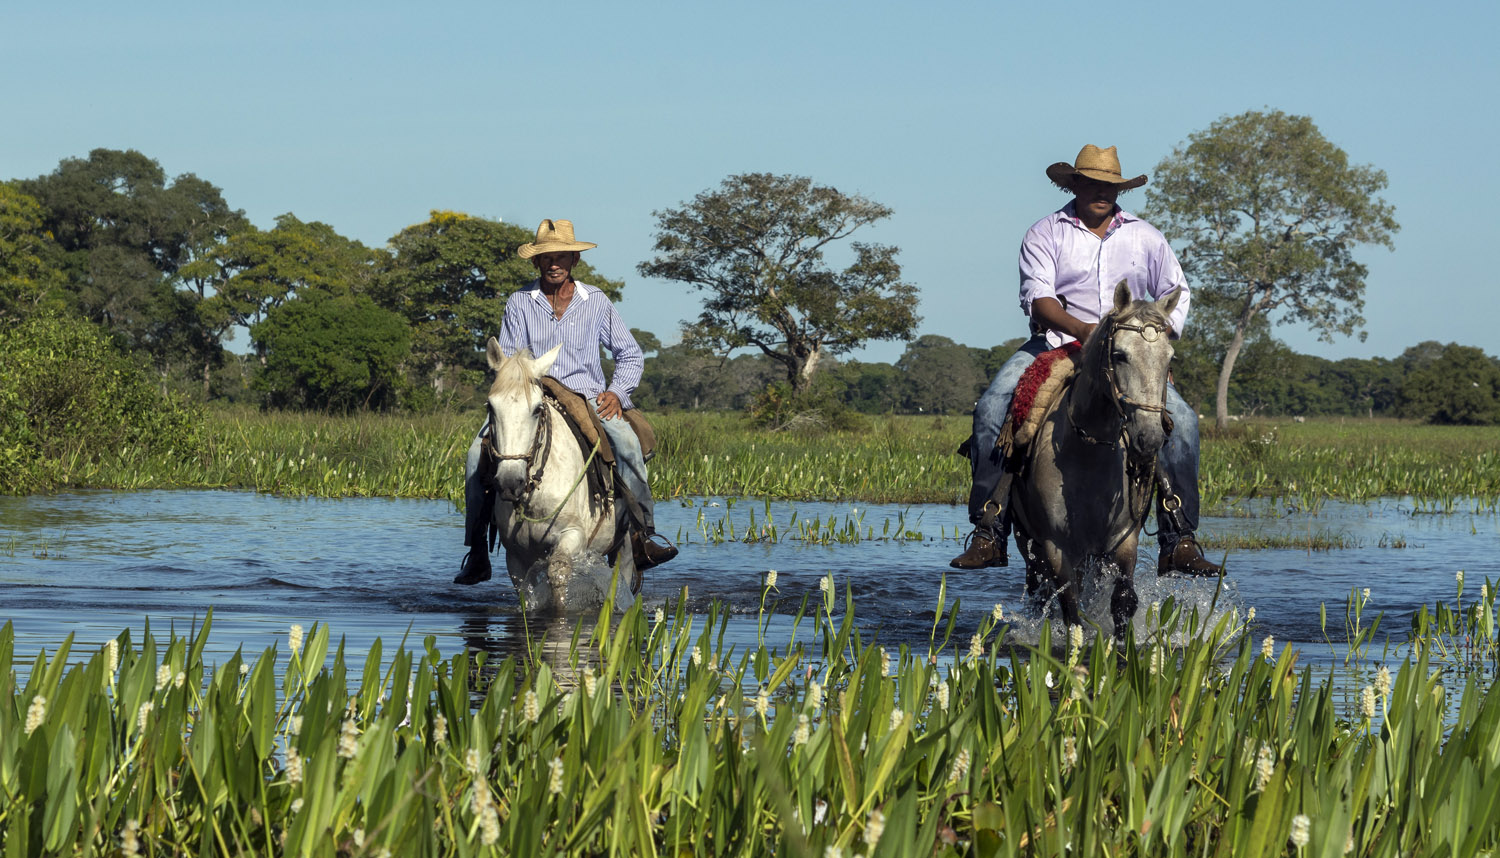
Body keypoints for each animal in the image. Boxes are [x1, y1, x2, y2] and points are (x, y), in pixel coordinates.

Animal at [474, 339, 639, 612]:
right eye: (490, 407)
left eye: (536, 409)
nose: (510, 482)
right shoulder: (515, 556)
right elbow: (524, 590)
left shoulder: (572, 536)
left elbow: (558, 573)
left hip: (624, 549)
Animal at [1008, 282, 1182, 636]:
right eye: (1120, 355)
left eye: (1169, 357)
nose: (1149, 438)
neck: (1089, 455)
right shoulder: (1056, 547)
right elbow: (1070, 609)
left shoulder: (1123, 540)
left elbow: (1123, 601)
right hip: (1027, 542)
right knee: (1039, 592)